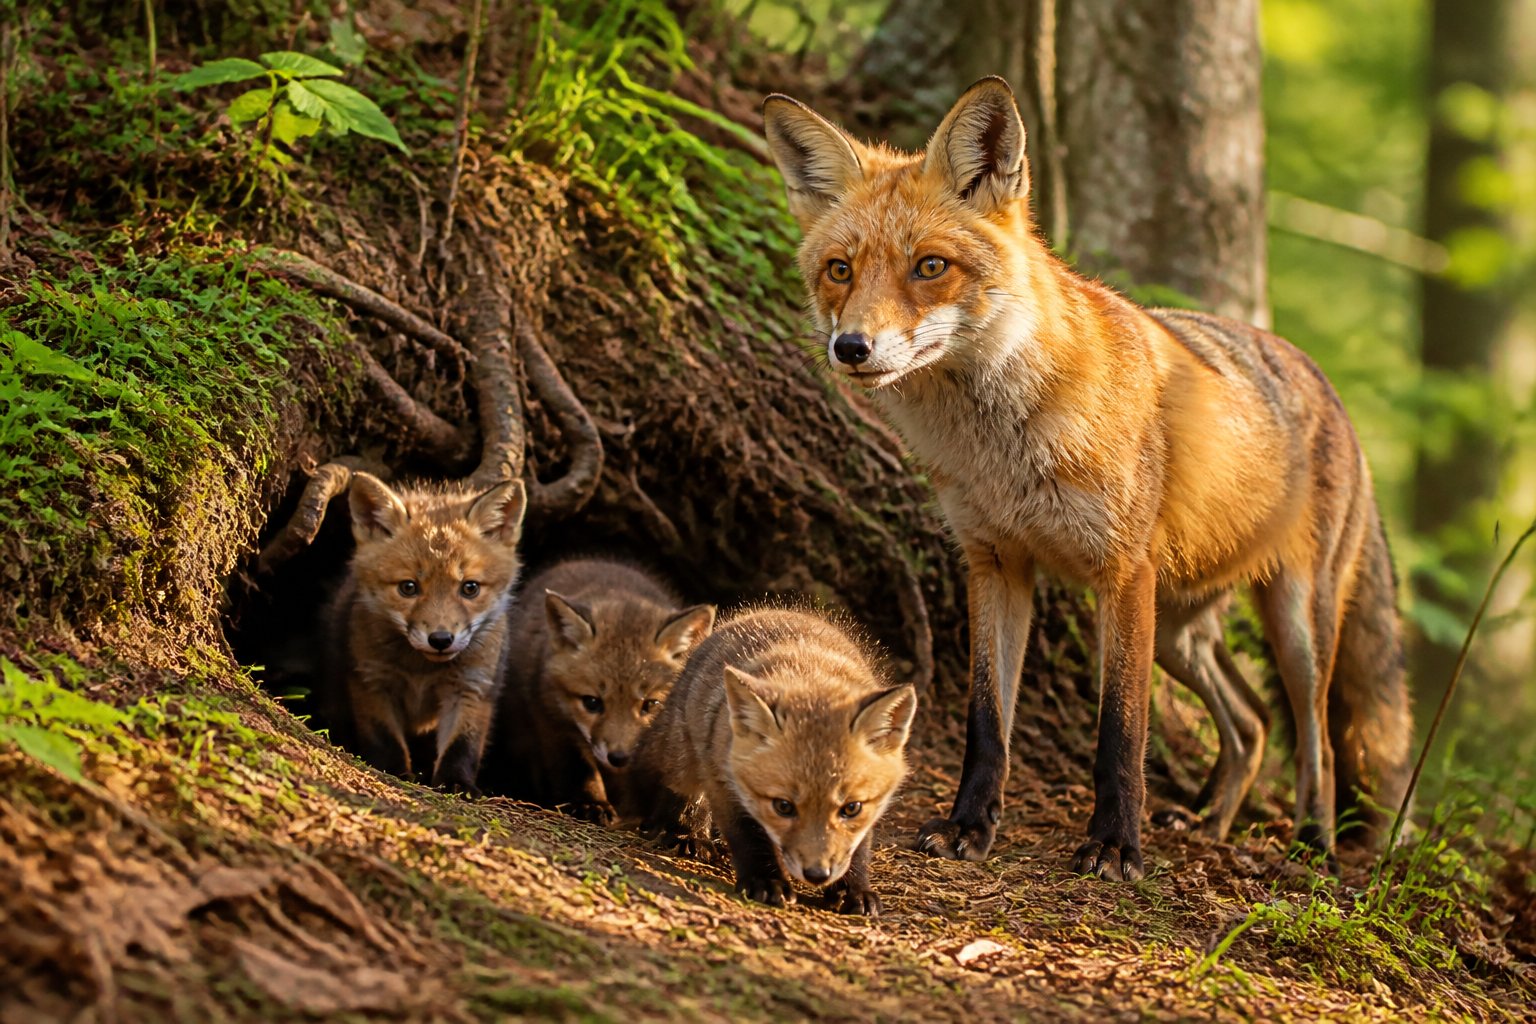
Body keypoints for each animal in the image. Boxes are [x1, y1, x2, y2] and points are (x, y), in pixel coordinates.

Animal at [320, 472, 527, 794]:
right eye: (408, 587)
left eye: (470, 588)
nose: (441, 639)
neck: (421, 671)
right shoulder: (372, 680)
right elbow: (385, 739)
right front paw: (394, 772)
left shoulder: (472, 685)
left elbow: (462, 745)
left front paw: (456, 784)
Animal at [488, 557, 716, 823]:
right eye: (592, 702)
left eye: (651, 704)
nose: (619, 757)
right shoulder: (552, 720)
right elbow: (580, 770)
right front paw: (591, 803)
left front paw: (685, 825)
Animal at [631, 607, 917, 915]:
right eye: (784, 807)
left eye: (851, 808)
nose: (817, 874)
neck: (811, 676)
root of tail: (771, 612)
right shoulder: (728, 783)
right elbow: (750, 836)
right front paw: (765, 880)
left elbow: (858, 846)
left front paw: (853, 889)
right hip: (687, 757)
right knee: (685, 794)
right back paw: (688, 835)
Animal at [760, 77, 1413, 880]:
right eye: (840, 269)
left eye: (930, 267)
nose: (851, 347)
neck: (1002, 448)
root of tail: (1322, 380)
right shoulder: (996, 564)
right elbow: (987, 724)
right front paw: (969, 827)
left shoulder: (1122, 574)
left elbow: (1120, 733)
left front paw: (1114, 845)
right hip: (1181, 629)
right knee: (1254, 722)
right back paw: (1209, 821)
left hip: (1292, 623)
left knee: (1313, 734)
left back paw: (1311, 842)